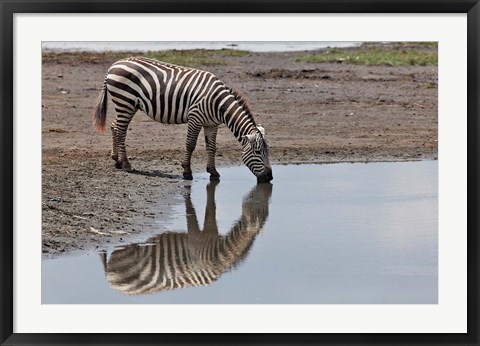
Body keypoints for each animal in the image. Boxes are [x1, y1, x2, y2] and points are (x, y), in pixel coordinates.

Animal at [93, 56, 274, 184]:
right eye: (258, 152)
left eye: (268, 151)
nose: (269, 178)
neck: (219, 104)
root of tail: (114, 65)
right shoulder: (195, 117)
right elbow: (190, 144)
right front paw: (187, 171)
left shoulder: (212, 124)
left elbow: (212, 147)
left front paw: (213, 172)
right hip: (125, 101)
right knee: (121, 131)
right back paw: (126, 164)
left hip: (127, 104)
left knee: (115, 126)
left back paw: (116, 160)